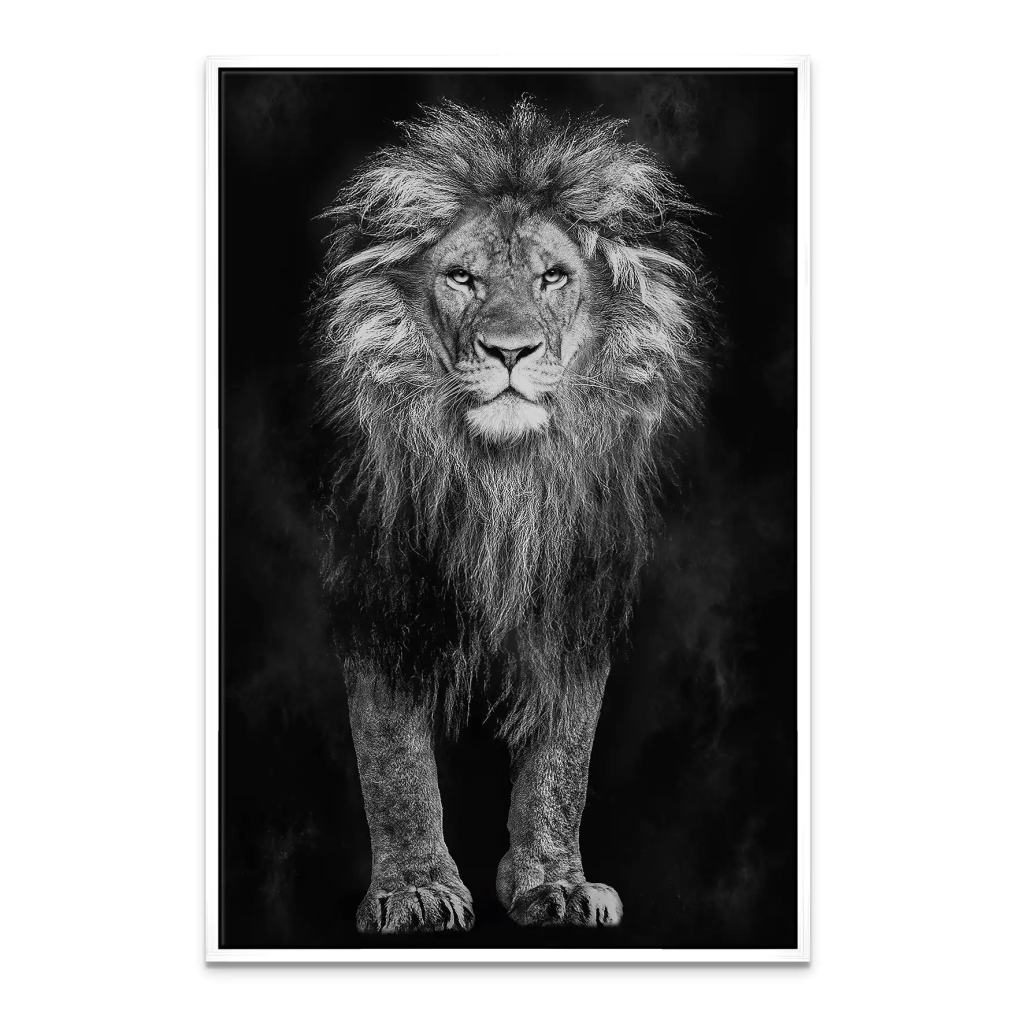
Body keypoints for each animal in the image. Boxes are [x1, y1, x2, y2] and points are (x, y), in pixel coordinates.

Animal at [312, 98, 714, 933]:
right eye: (462, 277)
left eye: (552, 276)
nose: (509, 351)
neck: (504, 480)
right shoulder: (381, 588)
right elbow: (394, 757)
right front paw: (416, 890)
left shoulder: (576, 593)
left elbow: (564, 762)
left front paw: (554, 884)